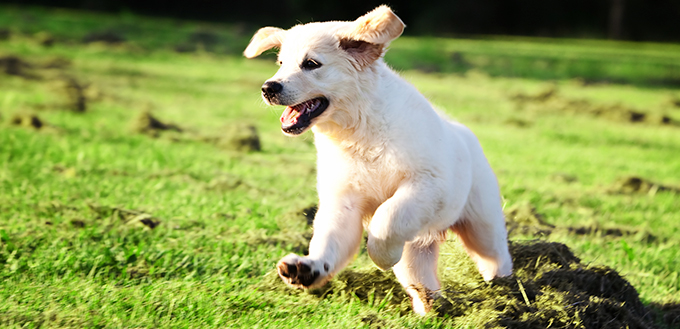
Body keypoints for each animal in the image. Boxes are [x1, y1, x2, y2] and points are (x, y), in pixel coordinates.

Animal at [244, 4, 510, 312]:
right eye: (281, 63)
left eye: (311, 64)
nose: (268, 88)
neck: (359, 133)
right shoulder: (342, 202)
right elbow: (328, 240)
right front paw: (308, 268)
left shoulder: (428, 185)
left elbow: (388, 216)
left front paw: (381, 254)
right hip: (419, 249)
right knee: (420, 276)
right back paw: (432, 308)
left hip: (482, 223)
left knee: (495, 256)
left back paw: (506, 289)